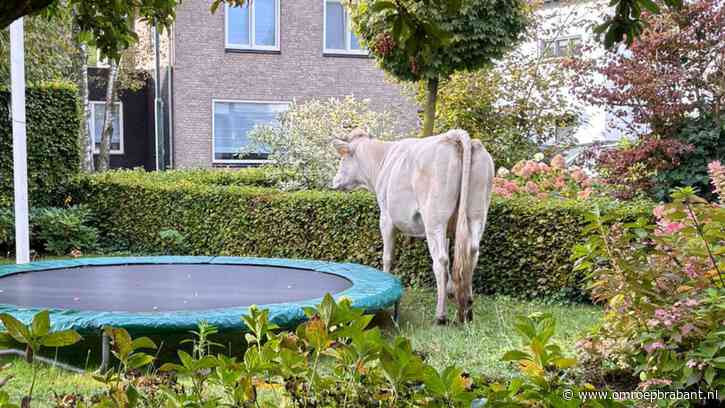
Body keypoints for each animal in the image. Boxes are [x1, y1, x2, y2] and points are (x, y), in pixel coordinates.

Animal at [331, 128, 494, 324]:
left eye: (342, 158)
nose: (334, 181)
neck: (381, 161)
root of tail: (454, 135)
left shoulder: (386, 217)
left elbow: (388, 256)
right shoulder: (449, 229)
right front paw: (450, 292)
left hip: (434, 218)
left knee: (440, 261)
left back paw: (440, 316)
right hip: (477, 214)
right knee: (471, 253)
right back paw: (468, 309)